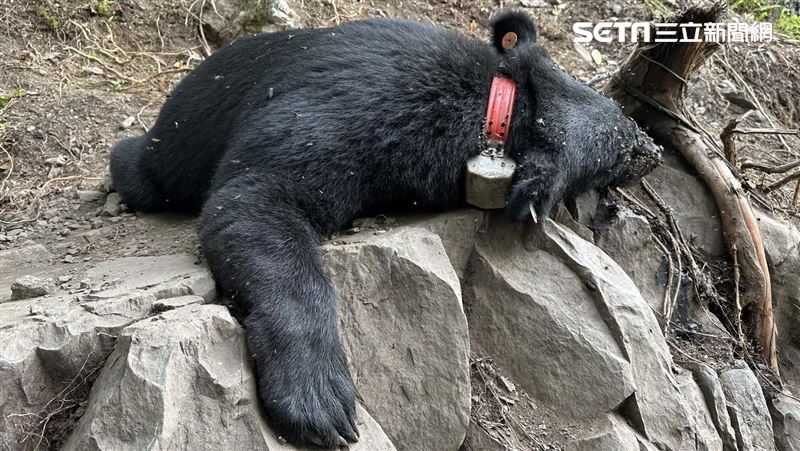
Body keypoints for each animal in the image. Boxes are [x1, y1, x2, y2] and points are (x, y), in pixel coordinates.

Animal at [109, 10, 661, 449]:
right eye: (624, 145)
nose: (654, 148)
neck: (495, 111)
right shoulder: (358, 111)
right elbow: (254, 197)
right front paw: (321, 404)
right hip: (178, 144)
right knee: (148, 170)